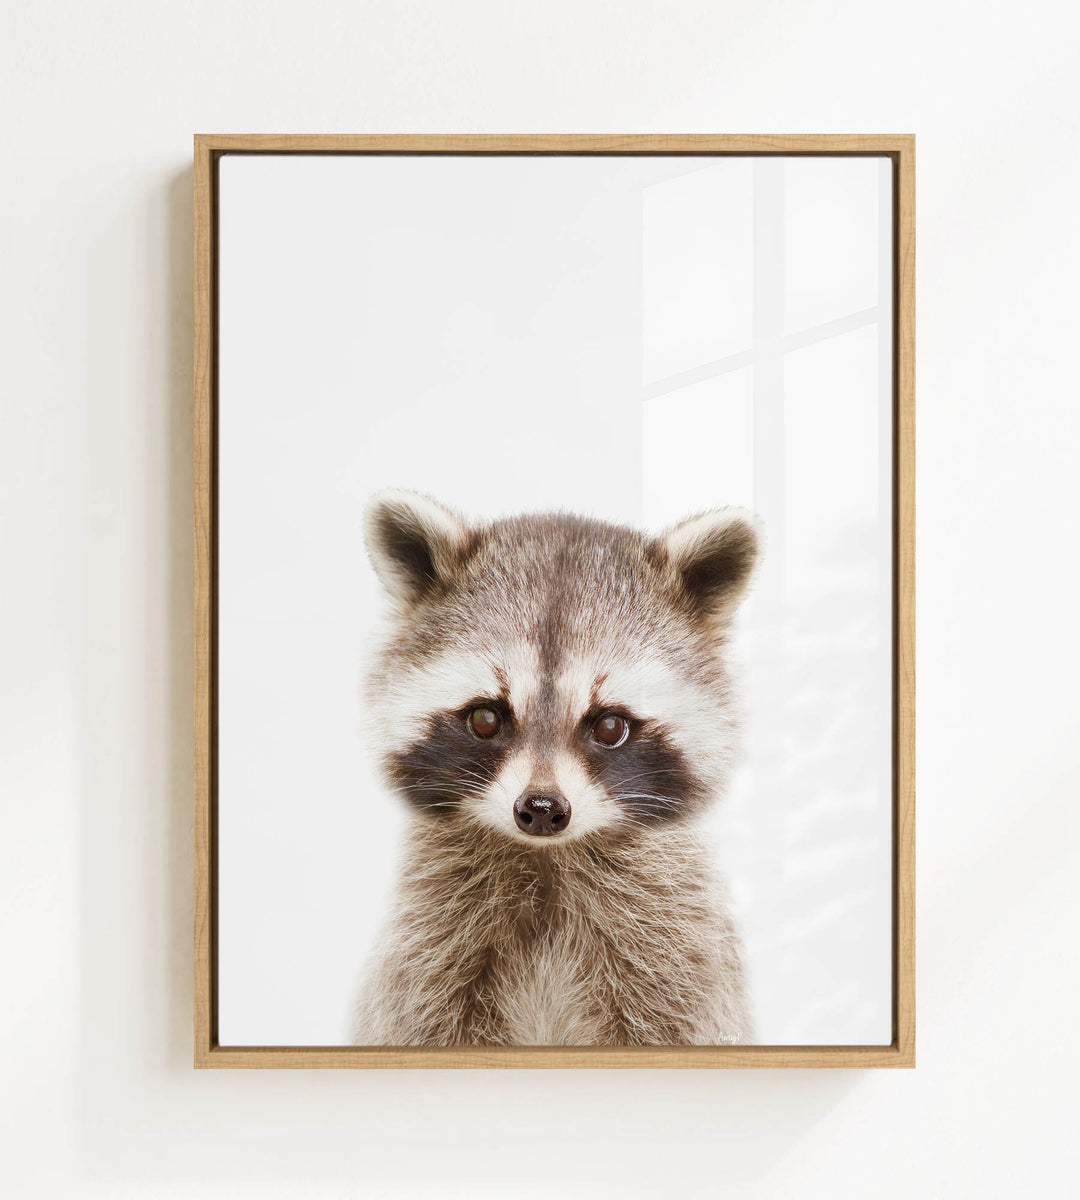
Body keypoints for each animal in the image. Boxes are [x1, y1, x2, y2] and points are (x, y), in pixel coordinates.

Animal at [353, 489, 759, 1047]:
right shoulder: (427, 950)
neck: (546, 860)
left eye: (609, 726)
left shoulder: (677, 954)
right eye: (485, 718)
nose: (542, 809)